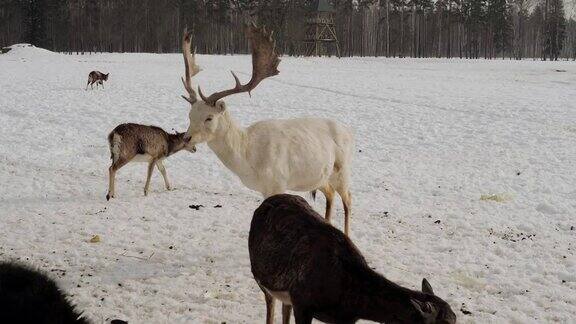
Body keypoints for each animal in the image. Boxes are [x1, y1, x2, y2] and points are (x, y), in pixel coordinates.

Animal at [180, 23, 356, 235]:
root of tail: (349, 132)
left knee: (348, 199)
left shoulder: (277, 182)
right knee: (330, 194)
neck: (248, 159)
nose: (186, 138)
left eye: (209, 117)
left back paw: (347, 232)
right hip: (320, 177)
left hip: (343, 170)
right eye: (190, 115)